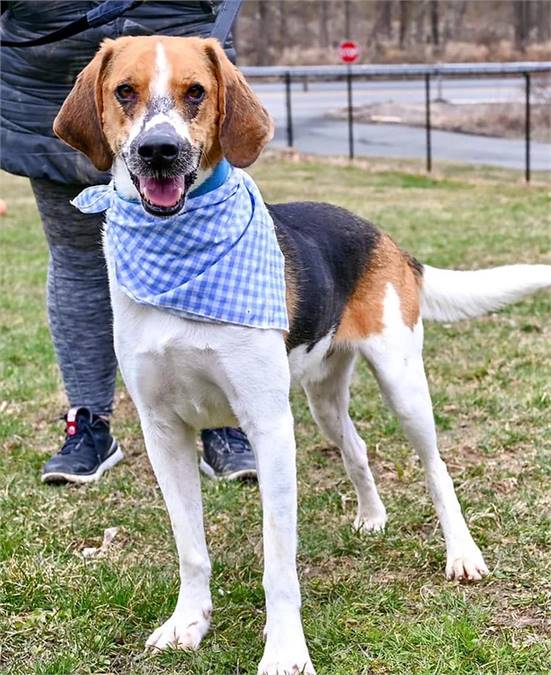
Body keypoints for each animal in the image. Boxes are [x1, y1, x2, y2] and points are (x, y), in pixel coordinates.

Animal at [54, 37, 551, 675]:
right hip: (321, 398)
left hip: (403, 385)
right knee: (356, 446)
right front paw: (189, 623)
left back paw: (463, 554)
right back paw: (372, 517)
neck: (178, 252)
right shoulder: (163, 432)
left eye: (196, 92)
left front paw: (286, 650)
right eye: (124, 91)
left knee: (436, 468)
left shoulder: (270, 427)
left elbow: (279, 564)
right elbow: (191, 549)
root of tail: (389, 241)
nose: (158, 151)